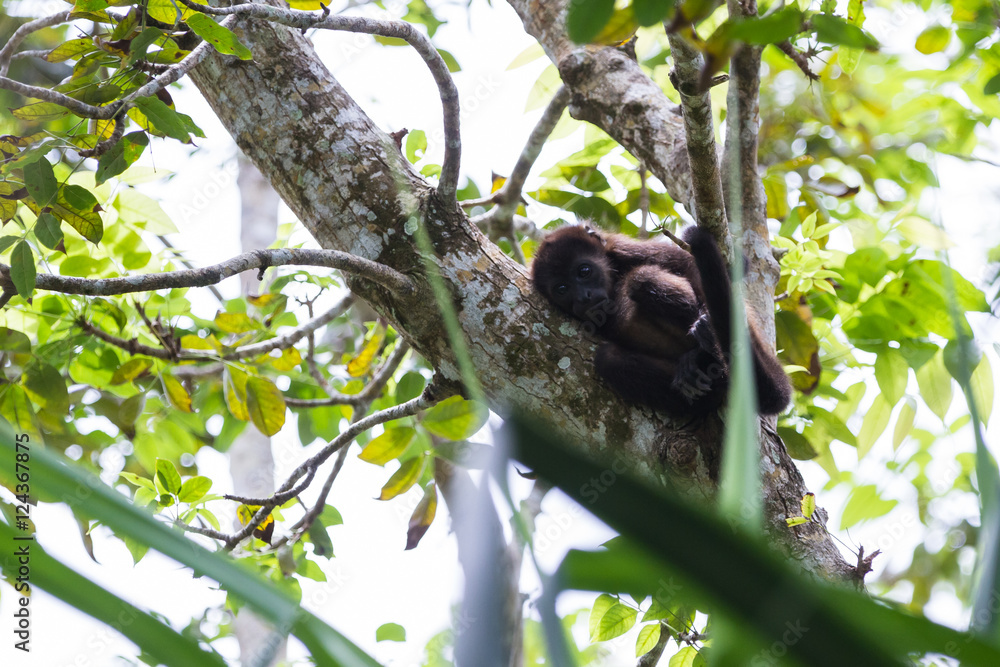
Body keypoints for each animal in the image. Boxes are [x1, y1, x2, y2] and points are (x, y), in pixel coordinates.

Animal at [530, 224, 791, 417]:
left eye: (584, 271)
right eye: (562, 289)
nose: (583, 297)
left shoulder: (624, 250)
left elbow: (731, 265)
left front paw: (706, 327)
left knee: (641, 279)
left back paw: (705, 347)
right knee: (609, 358)